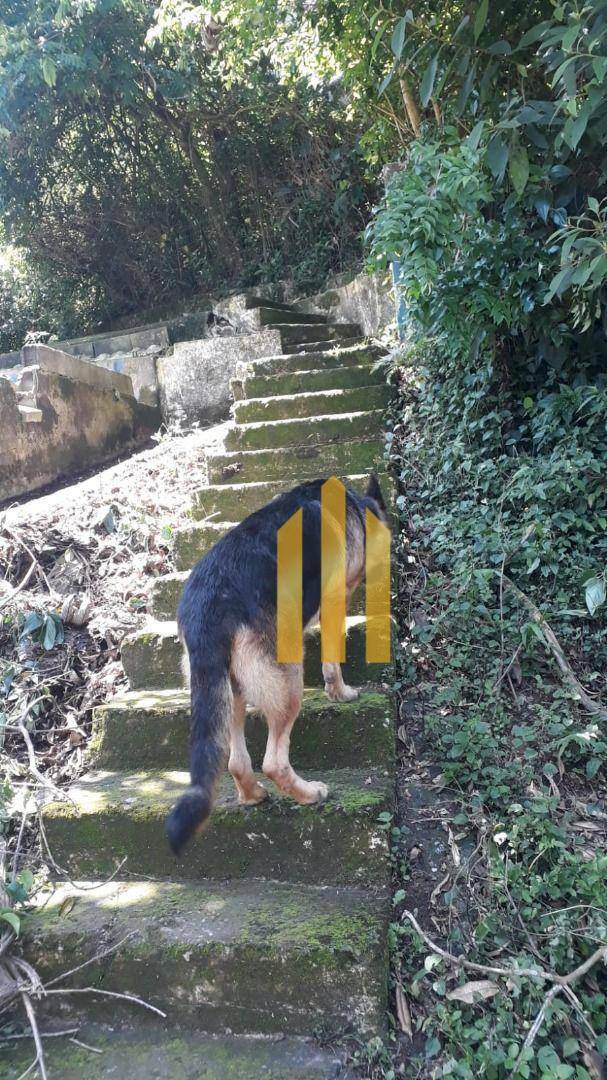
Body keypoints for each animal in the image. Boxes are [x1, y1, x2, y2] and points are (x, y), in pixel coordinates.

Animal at [165, 477, 386, 855]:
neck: (357, 507)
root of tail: (206, 606)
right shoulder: (334, 601)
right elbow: (332, 660)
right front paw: (340, 692)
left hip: (228, 690)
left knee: (237, 761)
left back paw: (252, 795)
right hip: (288, 682)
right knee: (274, 762)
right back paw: (309, 794)